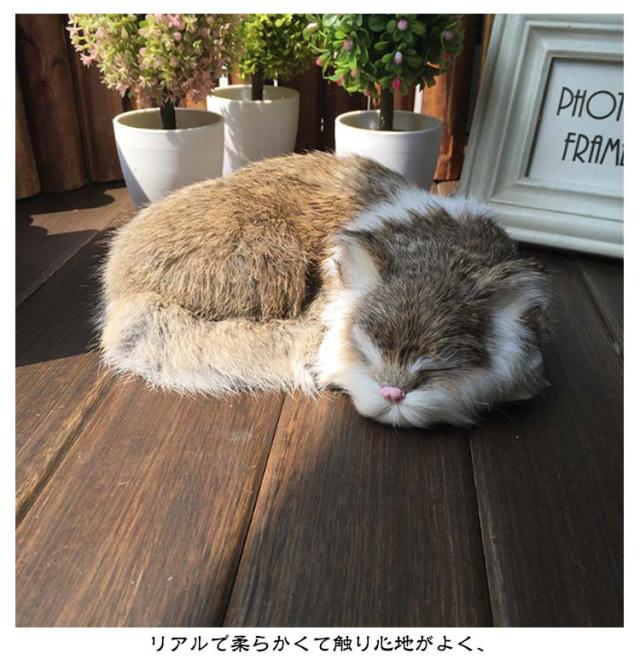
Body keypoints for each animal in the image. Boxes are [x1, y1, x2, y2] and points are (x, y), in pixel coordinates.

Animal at [99, 151, 550, 428]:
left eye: (443, 363)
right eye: (363, 346)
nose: (393, 391)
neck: (436, 247)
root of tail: (123, 292)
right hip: (273, 260)